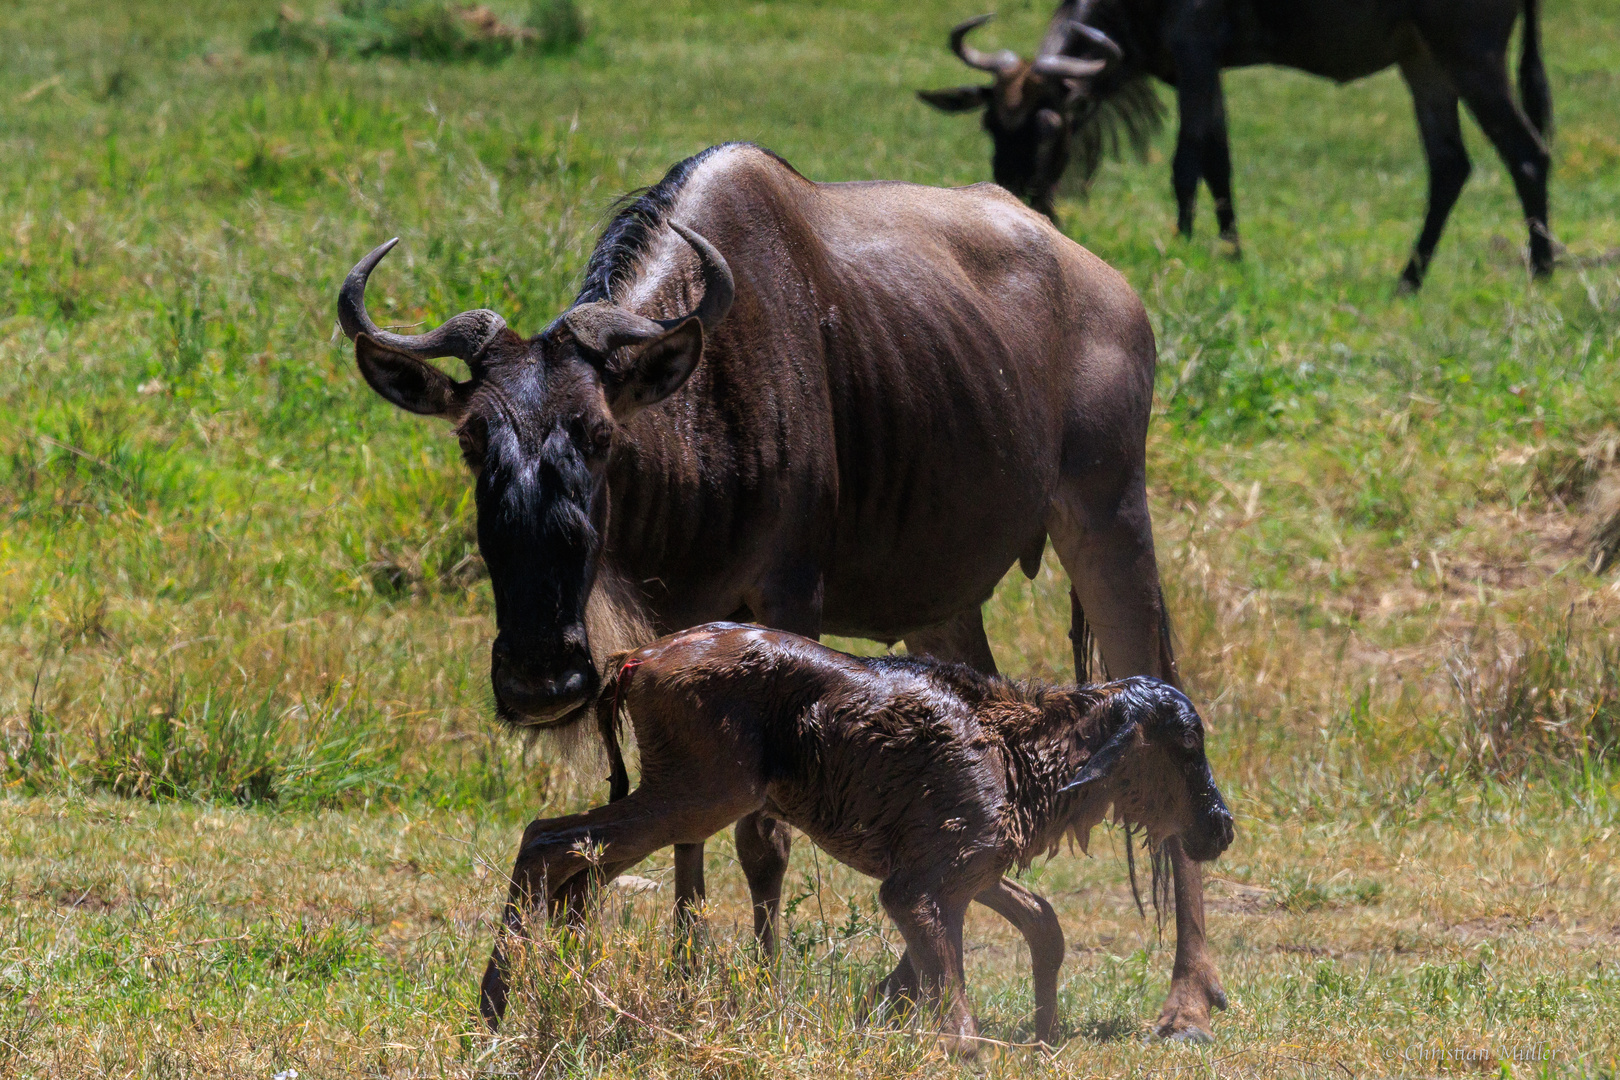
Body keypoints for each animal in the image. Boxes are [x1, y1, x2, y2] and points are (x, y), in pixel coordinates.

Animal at [479, 625, 1237, 1049]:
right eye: (1187, 745)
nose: (1221, 827)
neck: (1021, 756)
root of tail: (636, 659)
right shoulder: (916, 884)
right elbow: (956, 1018)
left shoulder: (966, 871)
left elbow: (1039, 924)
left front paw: (1044, 1035)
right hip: (696, 795)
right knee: (548, 842)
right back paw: (494, 1008)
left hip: (682, 798)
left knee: (580, 873)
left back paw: (552, 988)